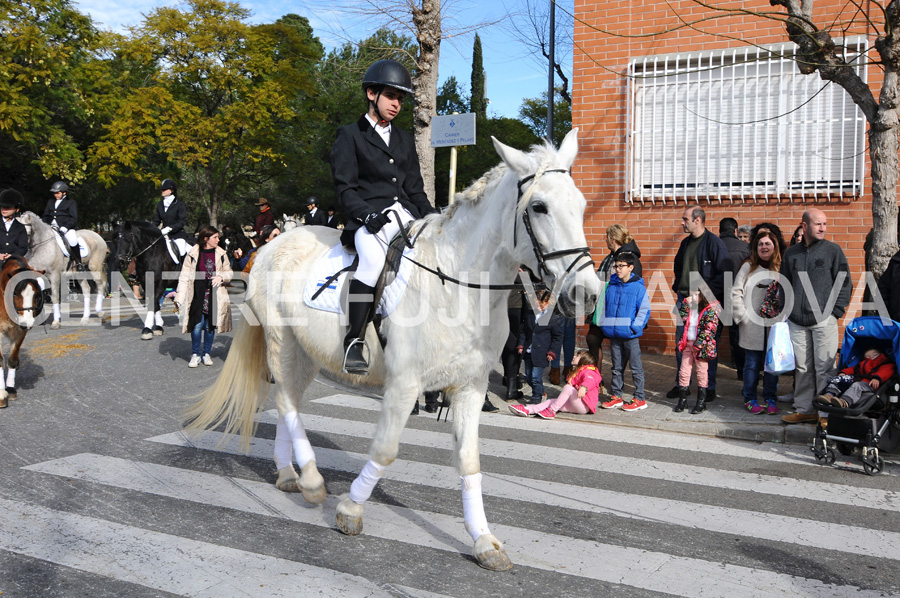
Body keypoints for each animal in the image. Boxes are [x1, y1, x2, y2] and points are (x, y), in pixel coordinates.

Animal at [0, 255, 44, 410]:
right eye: (14, 293)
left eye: (36, 294)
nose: (27, 322)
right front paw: (2, 394)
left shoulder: (20, 331)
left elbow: (12, 359)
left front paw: (10, 389)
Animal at [184, 131, 600, 572]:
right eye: (539, 207)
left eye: (581, 205)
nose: (587, 295)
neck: (457, 285)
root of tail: (271, 246)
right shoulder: (404, 385)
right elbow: (384, 451)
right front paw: (350, 509)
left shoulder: (470, 388)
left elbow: (469, 461)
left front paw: (484, 540)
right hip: (282, 342)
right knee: (286, 401)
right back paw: (311, 481)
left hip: (307, 353)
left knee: (287, 400)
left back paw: (288, 474)